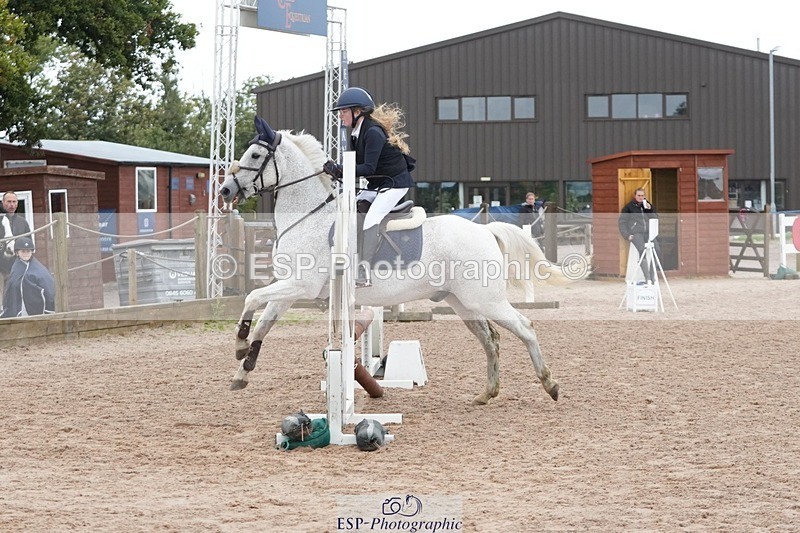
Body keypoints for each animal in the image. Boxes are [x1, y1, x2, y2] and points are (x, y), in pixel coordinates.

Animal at [219, 116, 585, 404]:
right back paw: (487, 393)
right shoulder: (290, 288)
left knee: (524, 327)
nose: (225, 190)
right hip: (463, 301)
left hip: (486, 300)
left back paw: (550, 385)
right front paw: (242, 369)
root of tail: (485, 231)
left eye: (255, 154)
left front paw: (238, 344)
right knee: (490, 339)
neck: (308, 215)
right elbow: (263, 323)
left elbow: (251, 298)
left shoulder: (302, 285)